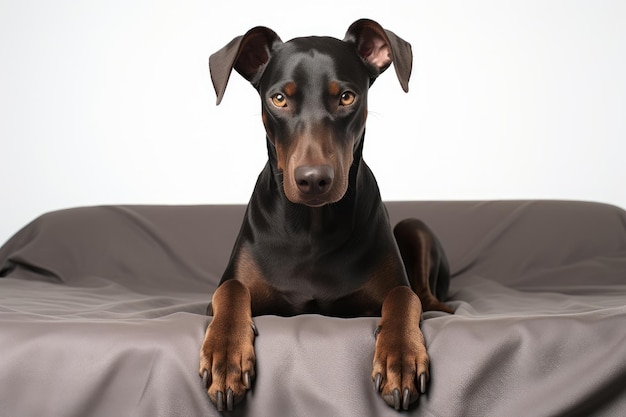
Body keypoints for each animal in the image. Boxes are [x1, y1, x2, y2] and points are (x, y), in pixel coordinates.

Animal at [197, 18, 450, 410]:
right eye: (279, 98)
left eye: (346, 97)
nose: (313, 180)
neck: (312, 228)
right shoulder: (228, 293)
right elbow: (230, 290)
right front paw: (225, 357)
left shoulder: (390, 289)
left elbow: (403, 297)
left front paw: (401, 357)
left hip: (415, 227)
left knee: (425, 295)